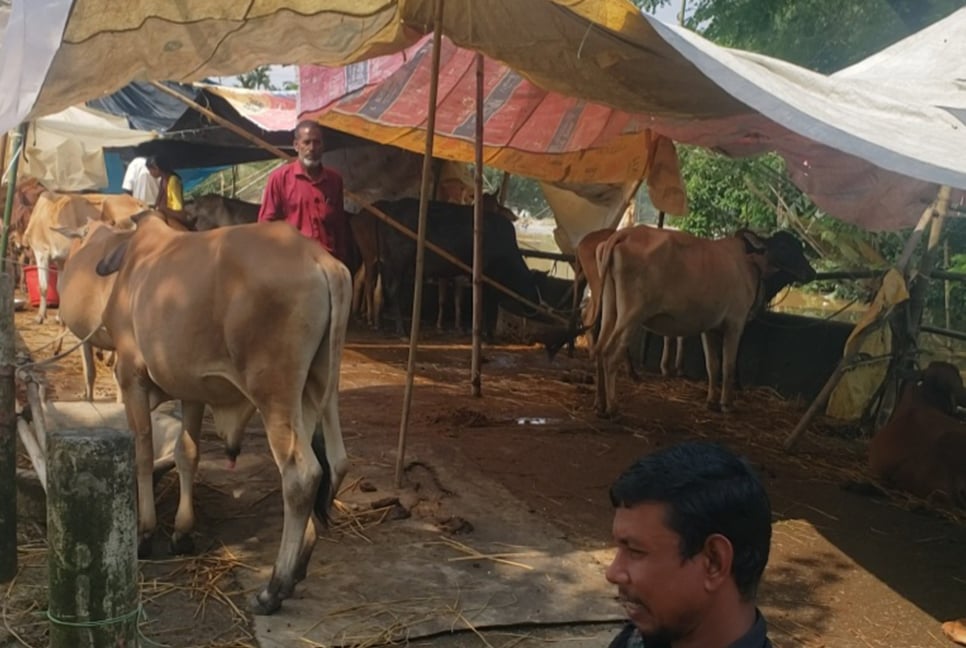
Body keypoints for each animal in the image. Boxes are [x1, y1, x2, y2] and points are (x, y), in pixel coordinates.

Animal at [91, 211, 352, 612]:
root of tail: (320, 259)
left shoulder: (132, 375)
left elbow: (143, 452)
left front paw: (145, 533)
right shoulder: (192, 391)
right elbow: (187, 453)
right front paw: (182, 532)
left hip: (274, 392)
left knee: (302, 475)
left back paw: (274, 588)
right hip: (318, 388)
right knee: (334, 464)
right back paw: (297, 569)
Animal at [370, 197, 540, 340]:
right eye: (534, 286)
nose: (536, 308)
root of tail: (391, 205)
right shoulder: (487, 277)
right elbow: (488, 306)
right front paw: (487, 336)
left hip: (386, 263)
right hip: (399, 261)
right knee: (393, 290)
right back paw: (402, 330)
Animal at [592, 225, 812, 418]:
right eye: (784, 246)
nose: (812, 272)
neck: (751, 265)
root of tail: (623, 234)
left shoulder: (709, 328)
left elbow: (712, 365)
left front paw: (711, 401)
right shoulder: (735, 323)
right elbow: (728, 366)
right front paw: (726, 404)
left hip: (611, 309)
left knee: (600, 349)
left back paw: (600, 405)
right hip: (632, 315)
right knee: (610, 354)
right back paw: (612, 407)